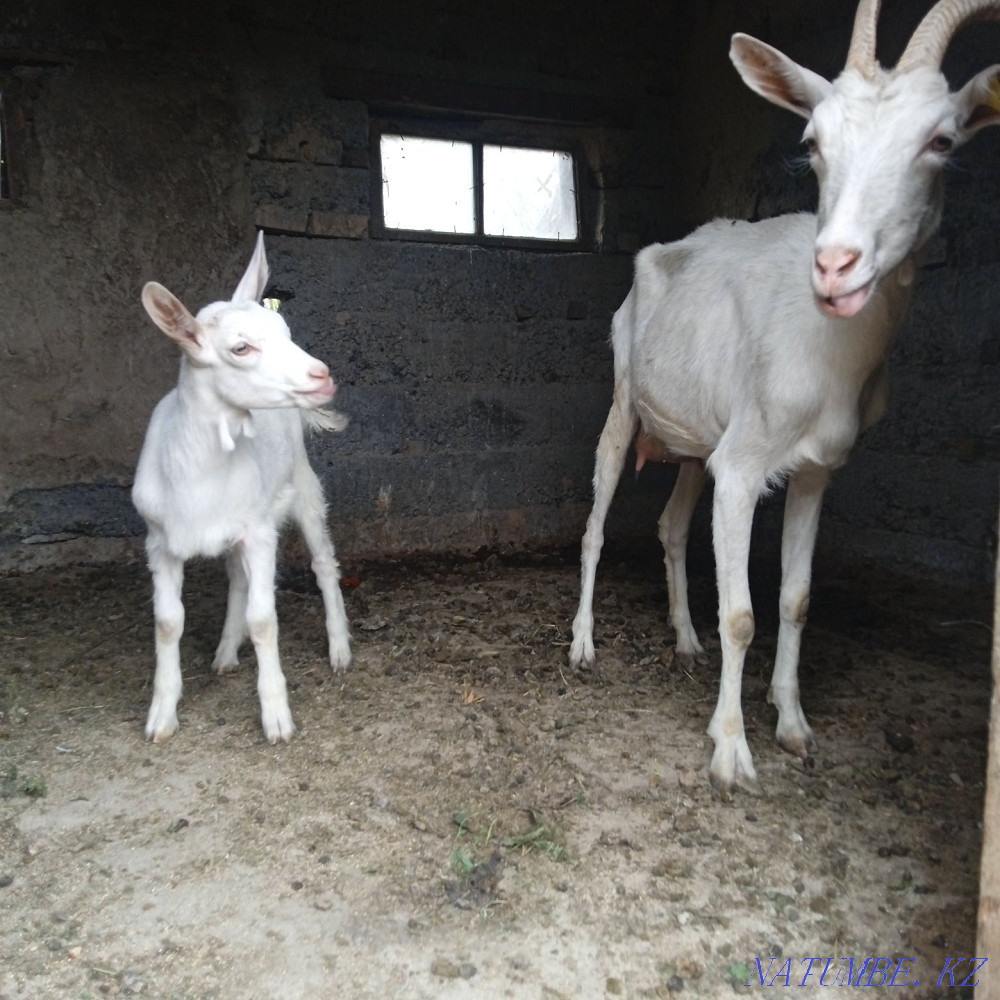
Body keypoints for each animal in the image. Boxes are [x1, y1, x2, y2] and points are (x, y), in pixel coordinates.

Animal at [132, 232, 351, 743]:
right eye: (240, 348)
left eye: (286, 330)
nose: (322, 375)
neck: (199, 474)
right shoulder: (160, 541)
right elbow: (167, 623)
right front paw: (161, 715)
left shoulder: (259, 532)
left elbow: (263, 619)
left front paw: (276, 716)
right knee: (236, 577)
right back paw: (226, 652)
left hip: (302, 488)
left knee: (323, 564)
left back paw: (338, 648)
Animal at [570, 0, 1000, 792]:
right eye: (813, 141)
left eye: (941, 141)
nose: (836, 265)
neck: (832, 354)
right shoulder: (742, 467)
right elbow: (742, 614)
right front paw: (731, 751)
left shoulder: (816, 469)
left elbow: (796, 601)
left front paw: (794, 724)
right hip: (625, 400)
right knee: (597, 520)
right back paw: (582, 644)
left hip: (692, 441)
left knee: (672, 526)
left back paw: (685, 638)